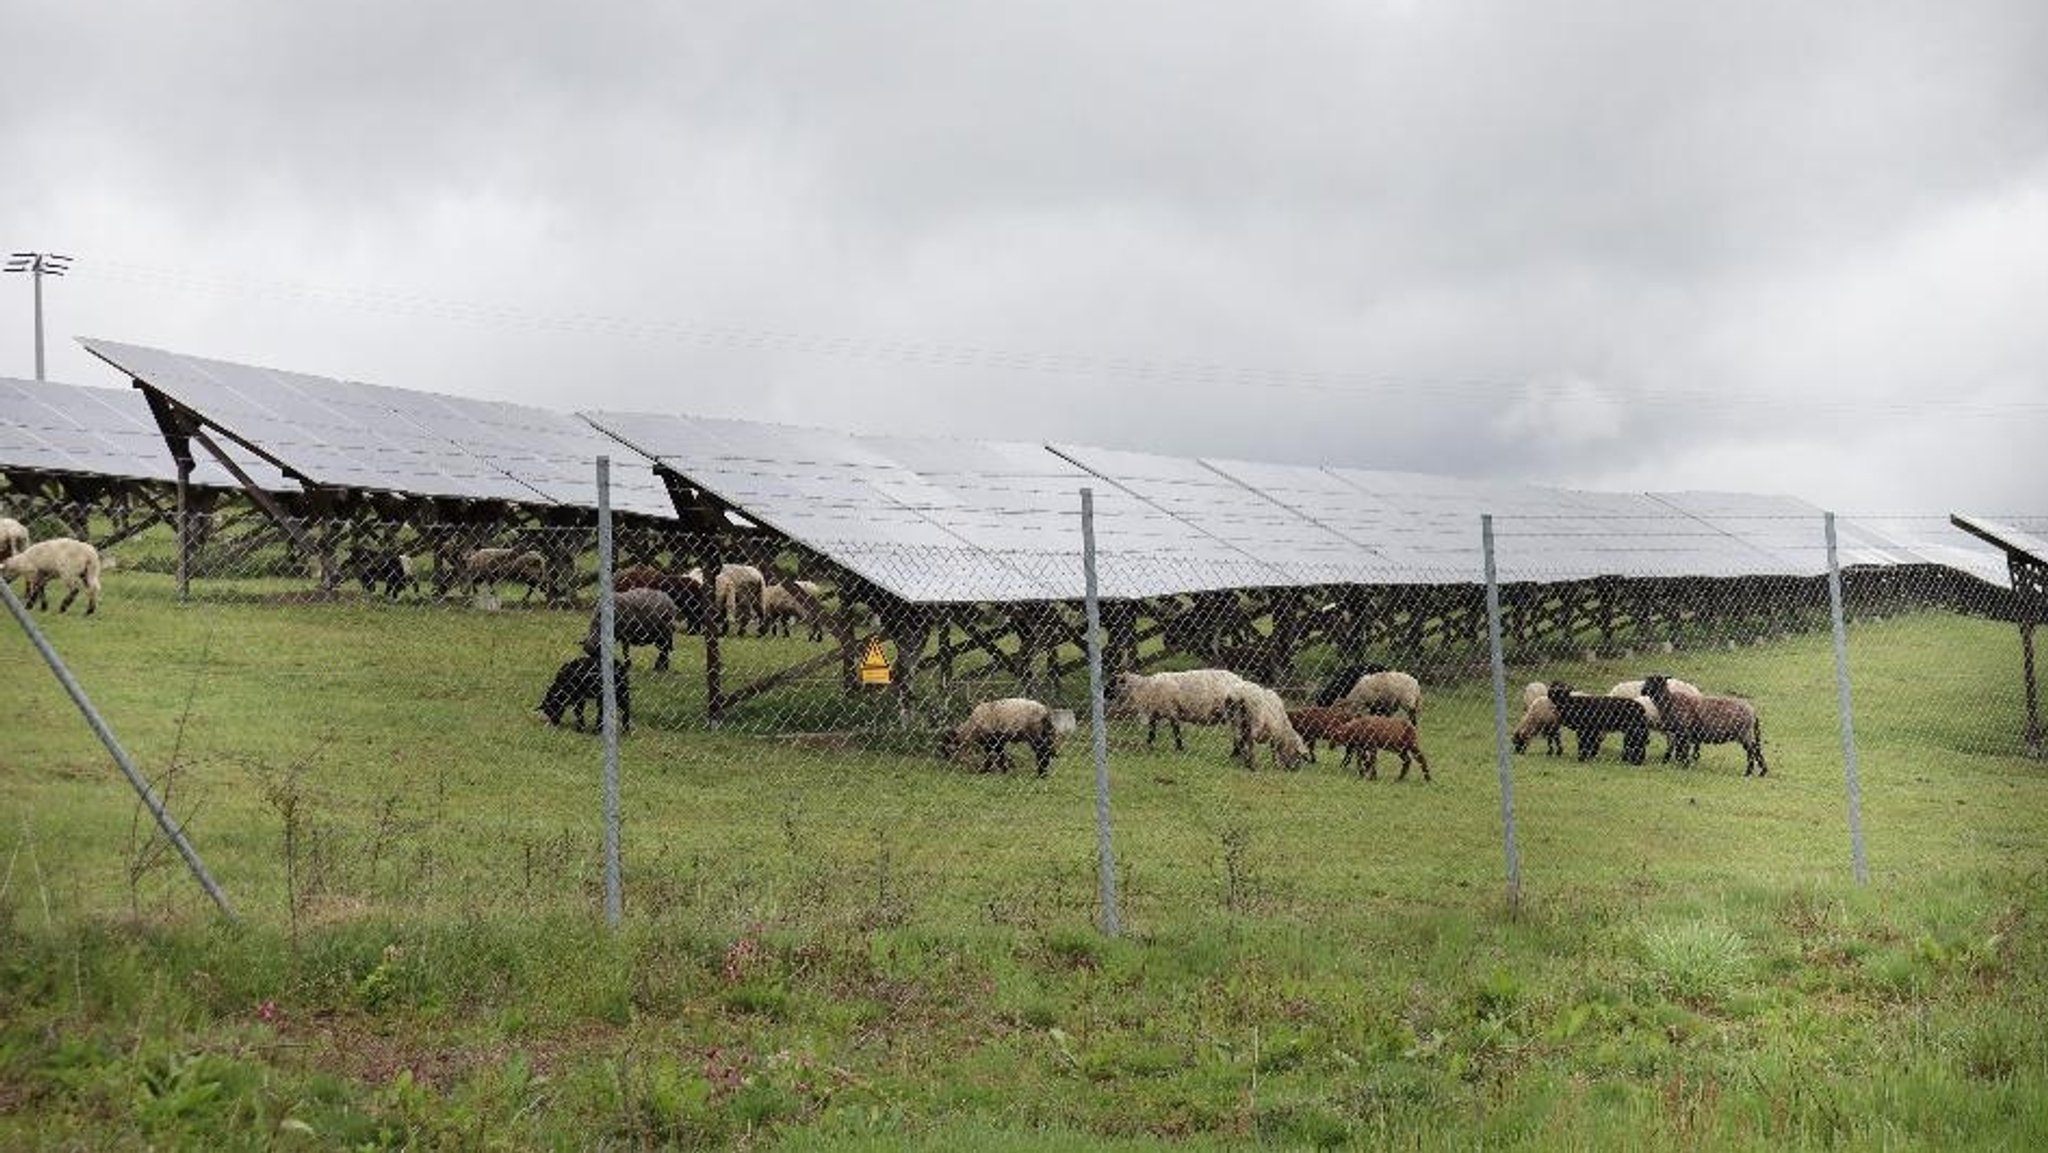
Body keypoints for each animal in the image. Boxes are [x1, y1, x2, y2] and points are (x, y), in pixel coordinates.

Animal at [1638, 671, 1769, 782]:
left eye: (1657, 681)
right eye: (1647, 680)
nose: (1642, 691)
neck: (1670, 701)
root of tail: (1753, 712)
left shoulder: (1684, 732)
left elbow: (1683, 750)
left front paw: (1685, 766)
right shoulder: (1679, 733)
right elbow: (1680, 750)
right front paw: (1682, 765)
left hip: (1743, 733)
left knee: (1752, 750)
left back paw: (1748, 772)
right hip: (1746, 733)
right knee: (1756, 748)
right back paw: (1762, 772)